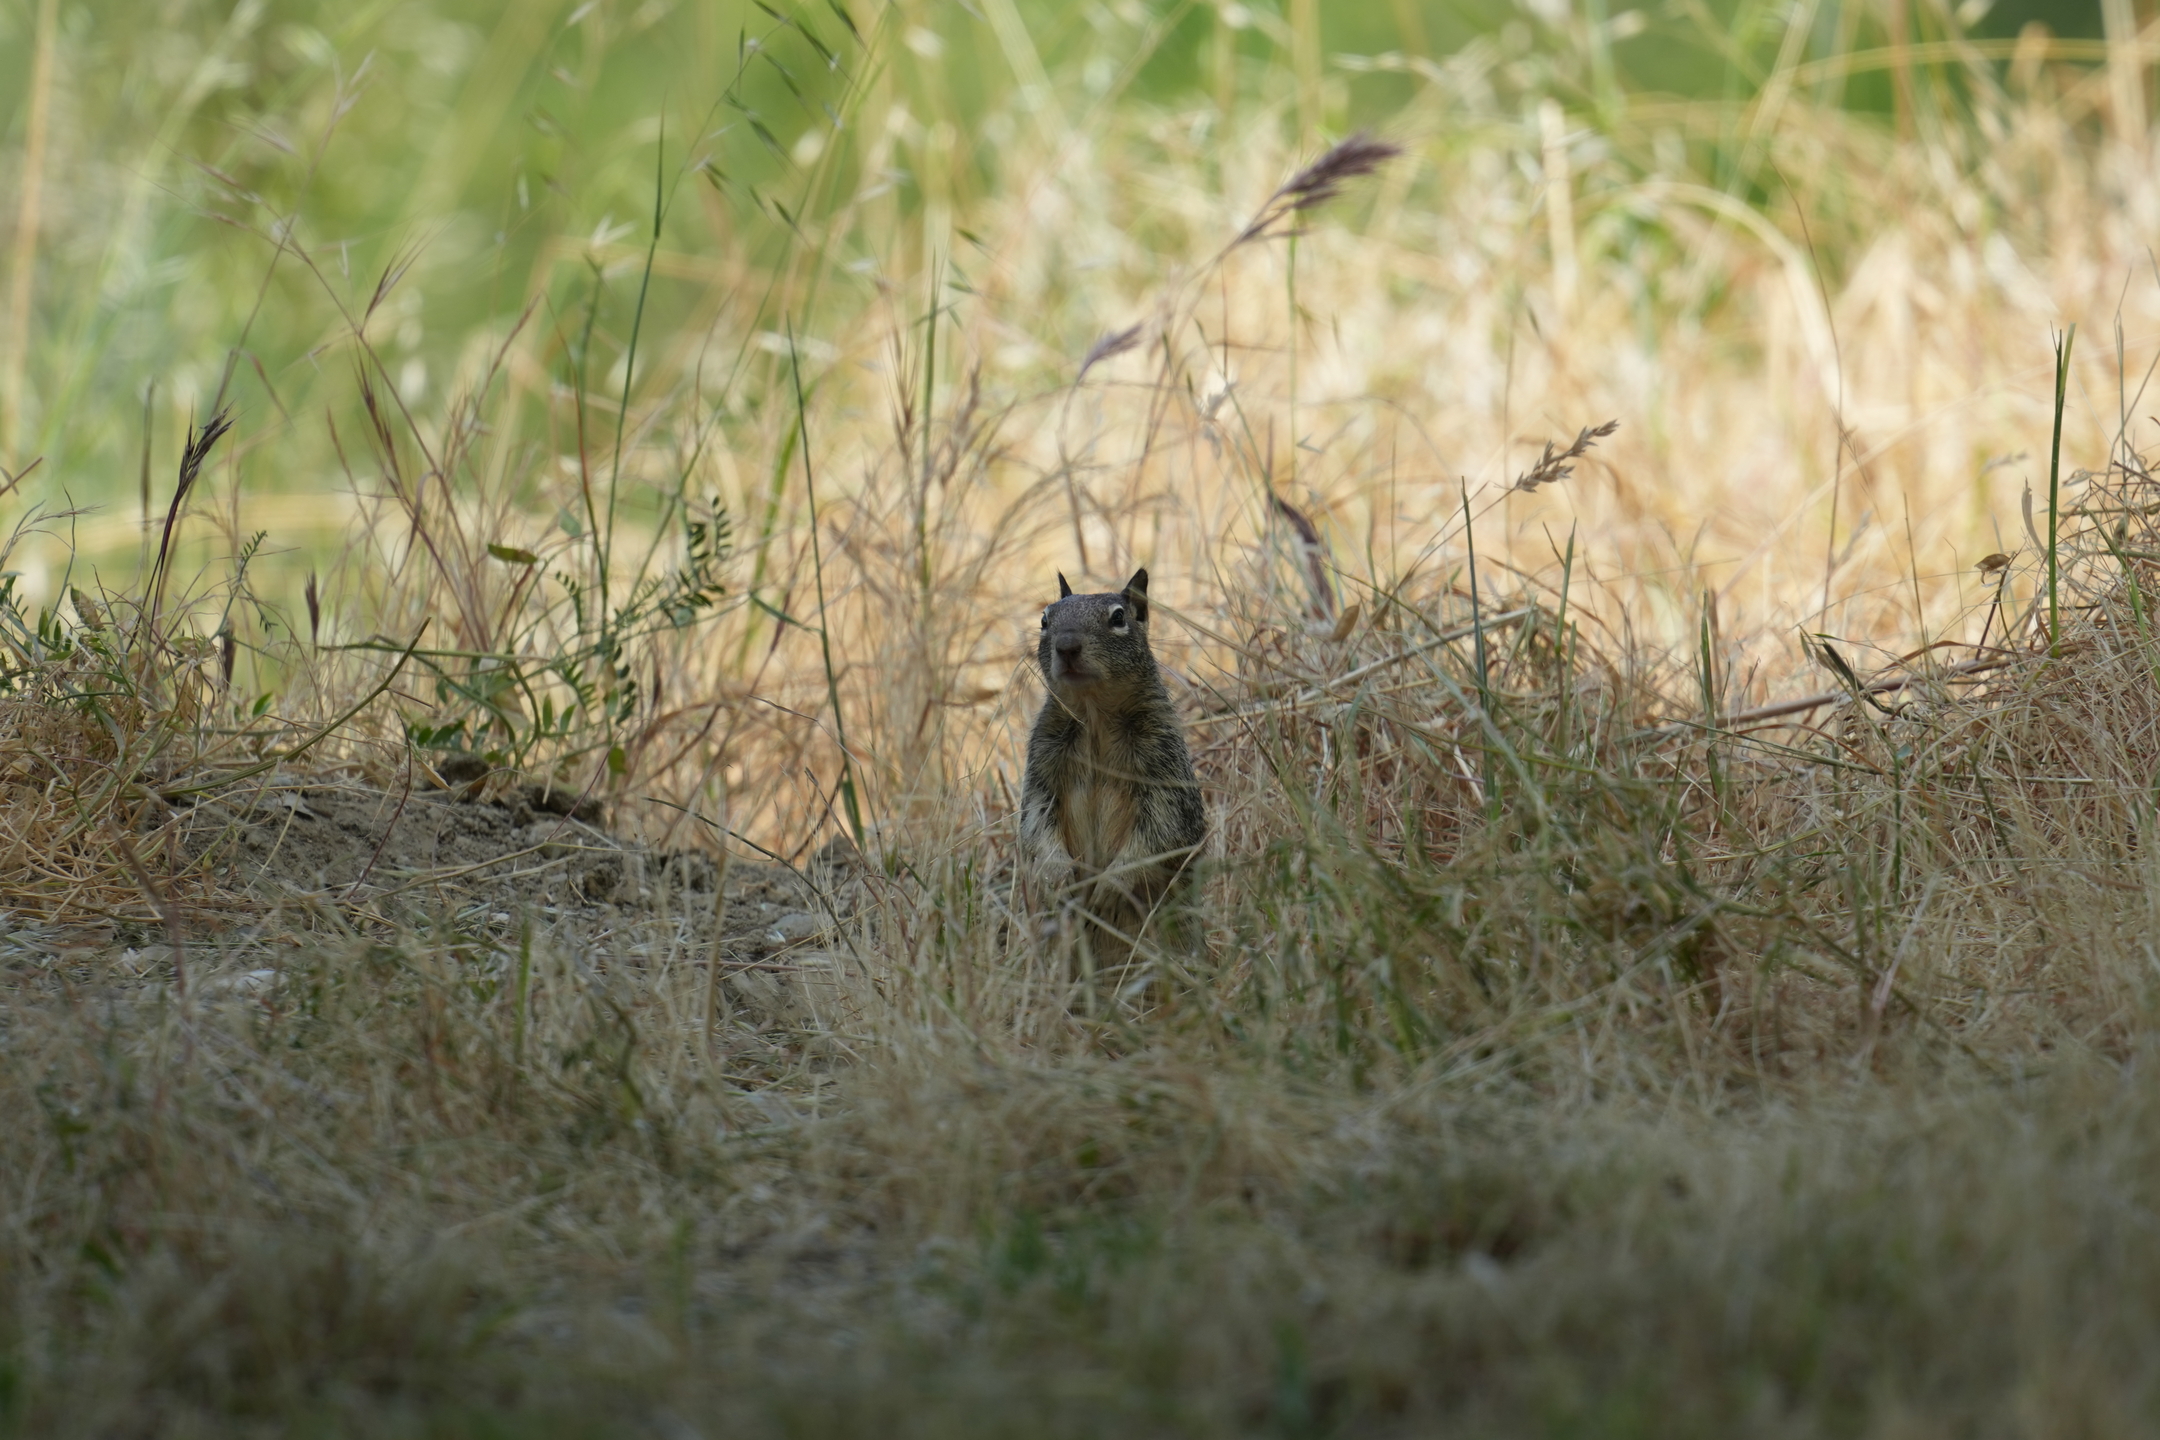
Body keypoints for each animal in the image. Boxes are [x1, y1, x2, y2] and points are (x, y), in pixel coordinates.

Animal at [1020, 568, 1205, 965]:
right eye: (1044, 620)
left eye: (1119, 618)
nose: (1067, 646)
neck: (1095, 717)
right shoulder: (1040, 769)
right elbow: (1036, 825)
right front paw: (1058, 876)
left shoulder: (1165, 771)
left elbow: (1159, 833)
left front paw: (1111, 886)